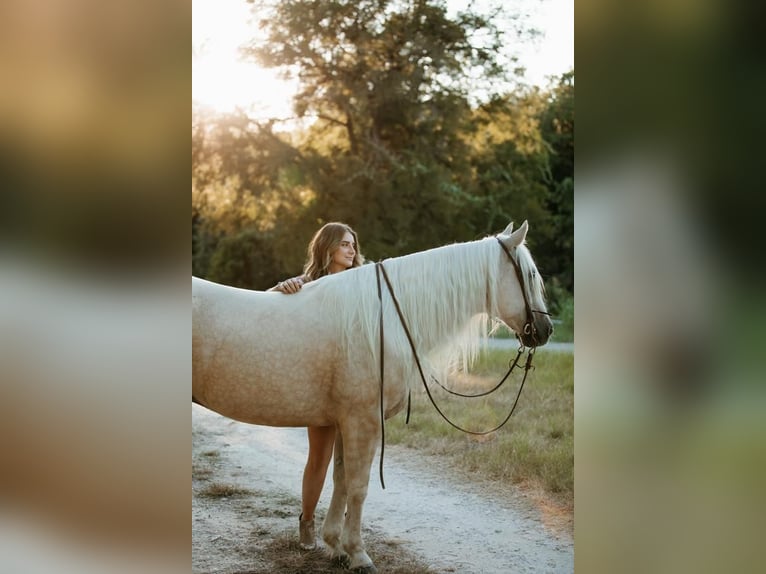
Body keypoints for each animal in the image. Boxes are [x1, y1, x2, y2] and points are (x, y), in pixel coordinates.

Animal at [191, 219, 552, 572]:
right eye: (531, 275)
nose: (545, 330)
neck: (385, 322)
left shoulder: (343, 422)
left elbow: (340, 480)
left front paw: (336, 547)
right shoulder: (362, 421)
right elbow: (359, 486)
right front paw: (358, 554)